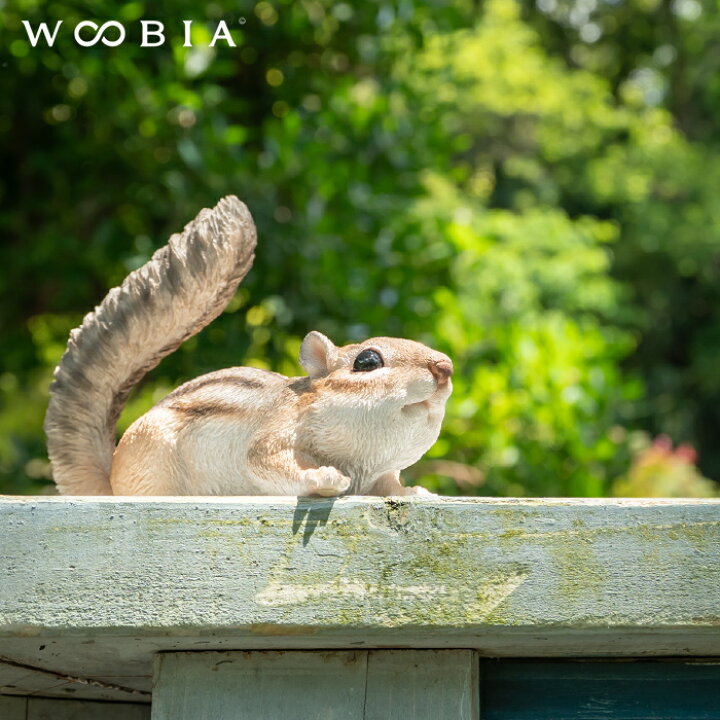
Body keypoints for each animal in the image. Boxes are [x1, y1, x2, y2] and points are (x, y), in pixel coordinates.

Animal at [44, 196, 453, 497]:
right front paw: (323, 478)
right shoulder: (274, 433)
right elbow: (268, 462)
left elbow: (389, 485)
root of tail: (110, 483)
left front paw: (414, 492)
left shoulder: (381, 472)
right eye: (367, 361)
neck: (365, 456)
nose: (444, 368)